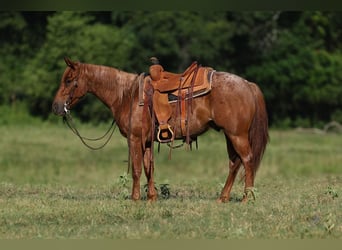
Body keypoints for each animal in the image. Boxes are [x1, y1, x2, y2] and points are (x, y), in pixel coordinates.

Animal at [52, 57, 268, 202]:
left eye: (69, 80)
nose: (56, 107)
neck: (127, 94)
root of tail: (247, 84)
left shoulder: (134, 138)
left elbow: (137, 169)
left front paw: (135, 198)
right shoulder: (146, 140)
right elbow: (149, 168)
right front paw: (151, 197)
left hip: (236, 135)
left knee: (247, 160)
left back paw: (247, 198)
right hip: (229, 135)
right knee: (234, 163)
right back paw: (223, 198)